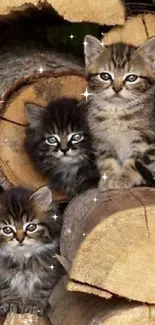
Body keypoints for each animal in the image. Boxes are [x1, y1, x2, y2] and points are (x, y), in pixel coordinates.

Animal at [0, 186, 64, 316]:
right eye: (7, 230)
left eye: (31, 227)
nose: (20, 239)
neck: (23, 258)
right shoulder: (2, 276)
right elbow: (7, 289)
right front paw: (11, 303)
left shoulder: (49, 272)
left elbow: (40, 290)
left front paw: (33, 306)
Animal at [84, 34, 155, 190]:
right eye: (105, 76)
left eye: (131, 78)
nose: (117, 88)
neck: (117, 111)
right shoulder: (101, 138)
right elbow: (106, 158)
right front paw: (109, 177)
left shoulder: (147, 139)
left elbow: (136, 160)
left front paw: (124, 177)